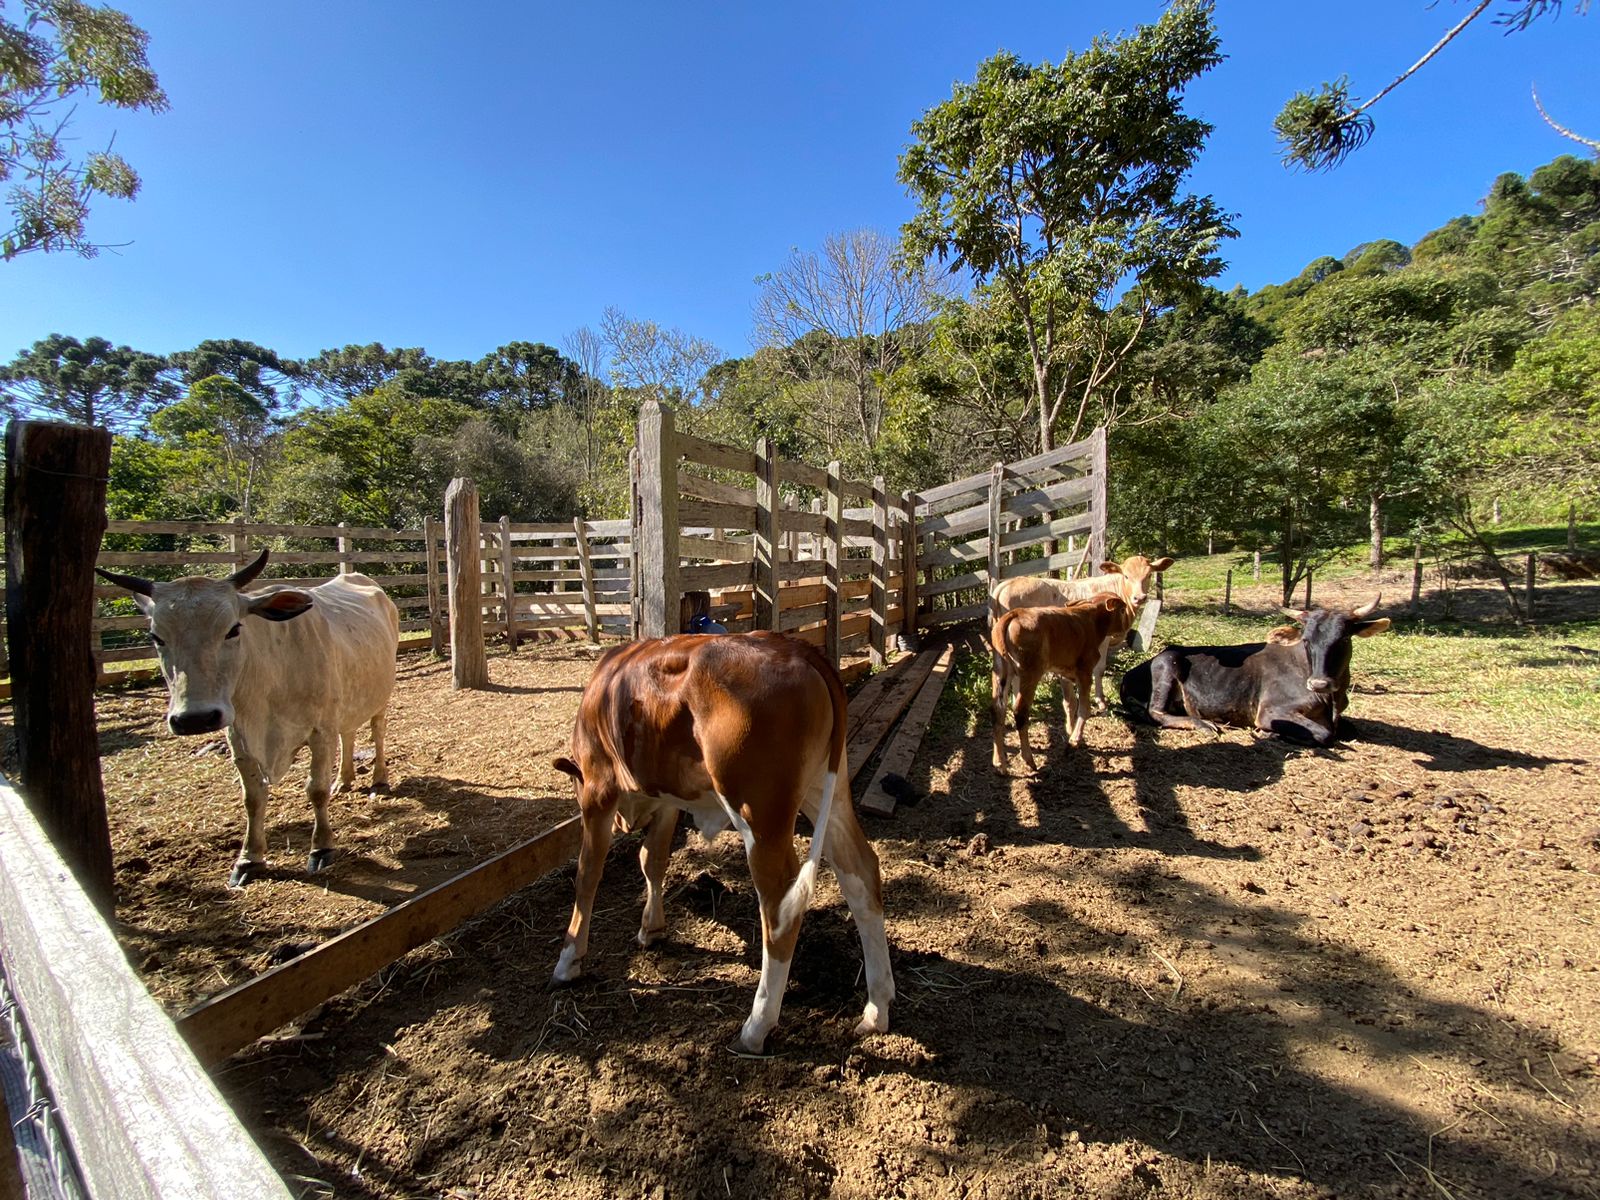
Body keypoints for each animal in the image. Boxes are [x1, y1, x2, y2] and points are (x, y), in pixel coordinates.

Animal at [95, 550, 400, 887]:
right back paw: (344, 780)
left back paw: (378, 778)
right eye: (156, 636)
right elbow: (252, 798)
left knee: (377, 729)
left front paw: (321, 848)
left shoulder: (321, 731)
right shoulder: (239, 739)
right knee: (348, 733)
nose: (195, 718)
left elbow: (316, 789)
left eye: (233, 629)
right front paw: (249, 859)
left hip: (379, 693)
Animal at [551, 631, 893, 1055]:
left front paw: (569, 959)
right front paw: (651, 928)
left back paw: (756, 1026)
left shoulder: (597, 789)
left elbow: (587, 875)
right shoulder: (668, 800)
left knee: (779, 905)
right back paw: (877, 1007)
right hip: (826, 788)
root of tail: (796, 648)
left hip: (758, 812)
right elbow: (653, 859)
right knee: (860, 871)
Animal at [989, 594, 1137, 774]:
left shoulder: (1065, 673)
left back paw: (999, 763)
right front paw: (1075, 739)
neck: (1091, 621)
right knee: (1020, 712)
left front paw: (1071, 731)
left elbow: (1070, 703)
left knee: (998, 710)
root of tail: (1013, 615)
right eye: (1122, 610)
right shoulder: (1085, 672)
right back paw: (1028, 759)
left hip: (1001, 671)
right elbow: (1084, 708)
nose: (1127, 626)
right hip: (1029, 674)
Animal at [992, 554, 1174, 712]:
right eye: (1126, 576)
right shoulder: (1103, 639)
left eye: (1149, 575)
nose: (1140, 597)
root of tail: (1007, 584)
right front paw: (1101, 701)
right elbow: (1099, 669)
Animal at [1118, 596, 1390, 747]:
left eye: (1343, 639)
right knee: (1156, 711)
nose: (1319, 683)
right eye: (1306, 640)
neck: (1331, 701)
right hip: (1167, 664)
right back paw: (1205, 724)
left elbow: (1349, 729)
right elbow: (1324, 734)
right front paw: (1271, 734)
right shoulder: (1271, 711)